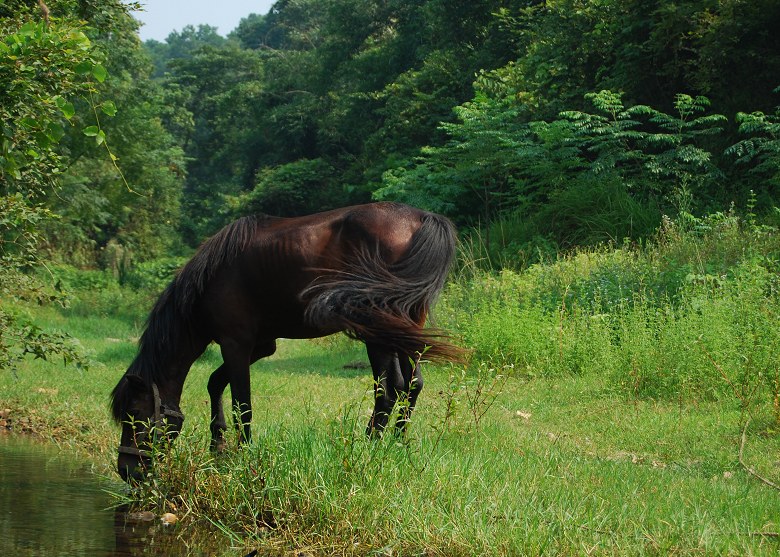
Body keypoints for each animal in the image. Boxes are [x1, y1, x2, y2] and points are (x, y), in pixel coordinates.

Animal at [109, 202, 464, 480]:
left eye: (135, 416)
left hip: (377, 332)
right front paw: (218, 446)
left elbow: (242, 404)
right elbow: (215, 382)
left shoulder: (236, 343)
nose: (126, 471)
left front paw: (243, 456)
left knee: (389, 390)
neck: (208, 281)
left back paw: (369, 449)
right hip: (404, 328)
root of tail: (421, 218)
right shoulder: (261, 346)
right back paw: (398, 444)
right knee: (412, 384)